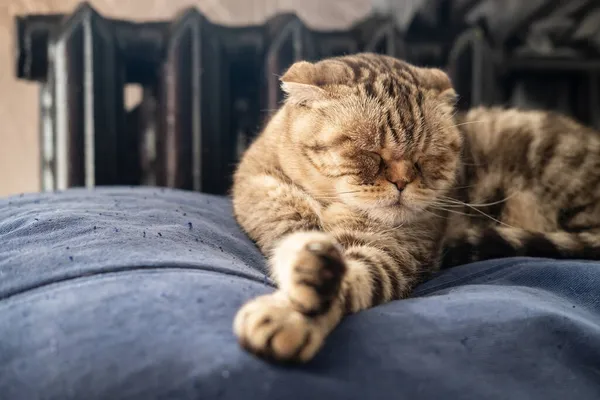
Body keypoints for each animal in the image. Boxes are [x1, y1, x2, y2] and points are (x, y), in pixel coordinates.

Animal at [230, 52, 600, 362]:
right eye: (370, 154)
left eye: (425, 158)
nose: (402, 182)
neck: (332, 205)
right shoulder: (277, 213)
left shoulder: (390, 252)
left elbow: (352, 278)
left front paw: (293, 314)